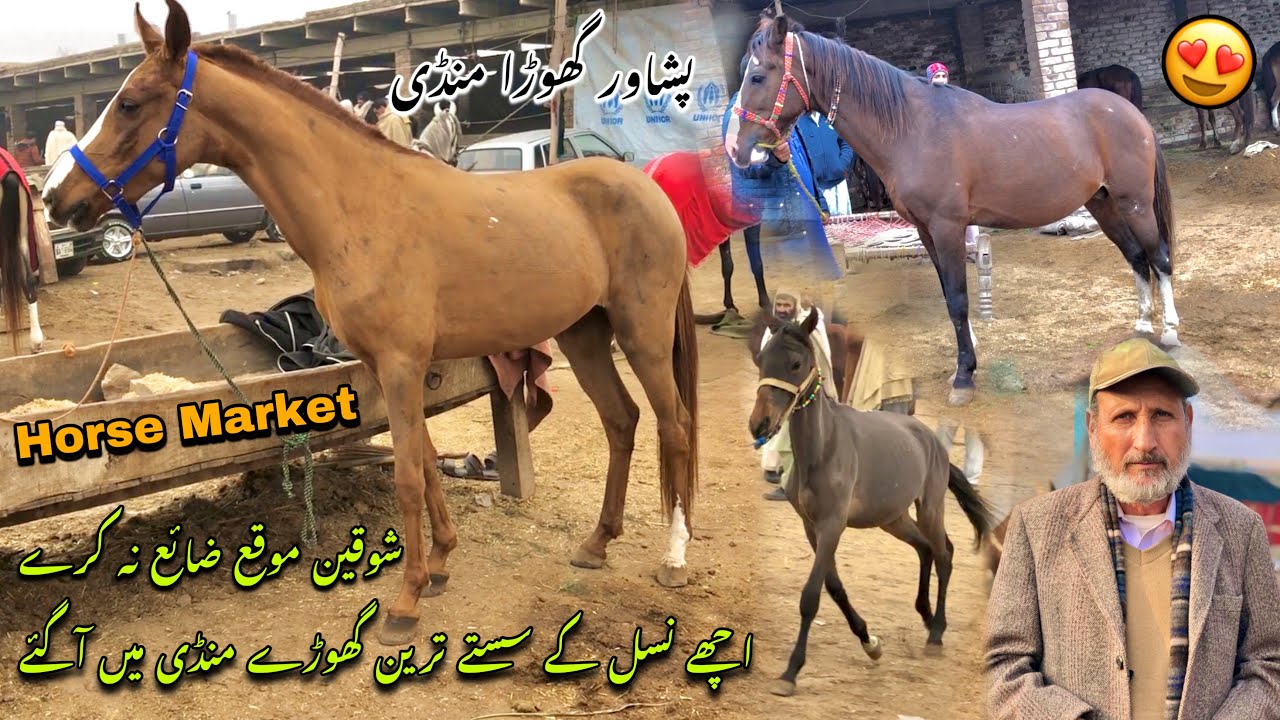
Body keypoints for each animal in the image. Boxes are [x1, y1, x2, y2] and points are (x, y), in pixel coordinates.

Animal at [41, 0, 700, 646]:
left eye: (130, 103)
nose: (54, 198)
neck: (360, 207)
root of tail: (644, 186)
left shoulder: (403, 364)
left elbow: (408, 473)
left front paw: (405, 601)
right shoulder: (386, 369)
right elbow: (427, 461)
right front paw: (440, 565)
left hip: (642, 335)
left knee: (674, 425)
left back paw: (673, 559)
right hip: (583, 334)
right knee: (622, 421)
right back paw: (597, 543)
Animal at [729, 12, 1178, 406]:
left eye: (758, 75)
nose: (736, 149)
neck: (912, 129)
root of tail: (1129, 112)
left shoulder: (947, 227)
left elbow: (959, 299)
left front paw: (964, 377)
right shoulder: (926, 231)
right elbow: (949, 295)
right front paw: (968, 359)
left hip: (1135, 203)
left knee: (1159, 257)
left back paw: (1170, 332)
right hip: (1103, 204)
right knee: (1136, 257)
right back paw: (1142, 326)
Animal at [748, 308, 996, 696]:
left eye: (796, 363)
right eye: (761, 360)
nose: (759, 424)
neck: (821, 449)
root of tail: (930, 439)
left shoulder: (832, 525)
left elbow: (810, 597)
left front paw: (791, 671)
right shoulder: (811, 527)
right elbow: (834, 588)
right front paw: (870, 642)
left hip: (929, 506)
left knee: (944, 554)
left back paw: (937, 632)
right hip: (893, 518)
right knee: (926, 549)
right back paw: (926, 616)